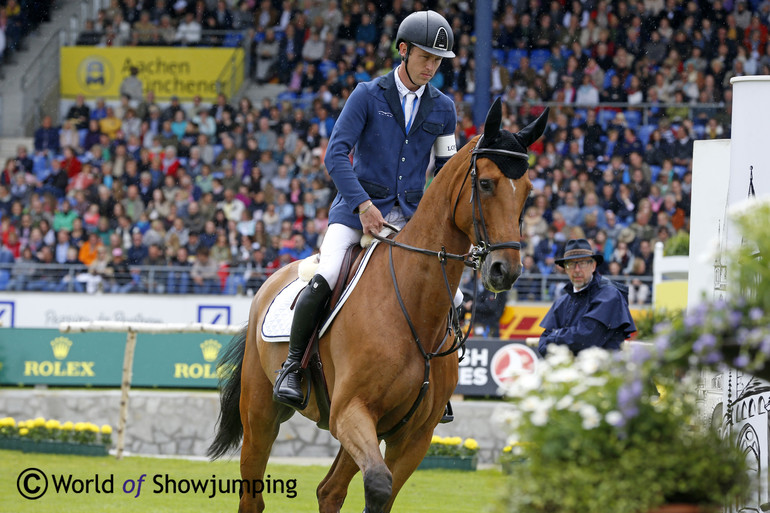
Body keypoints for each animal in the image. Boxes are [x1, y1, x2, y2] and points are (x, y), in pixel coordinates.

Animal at [207, 98, 548, 510]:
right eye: (485, 183)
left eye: (527, 192)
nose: (505, 271)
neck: (413, 308)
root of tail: (272, 279)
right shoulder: (351, 412)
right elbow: (379, 485)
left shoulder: (413, 435)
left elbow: (383, 492)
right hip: (261, 413)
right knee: (253, 493)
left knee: (329, 490)